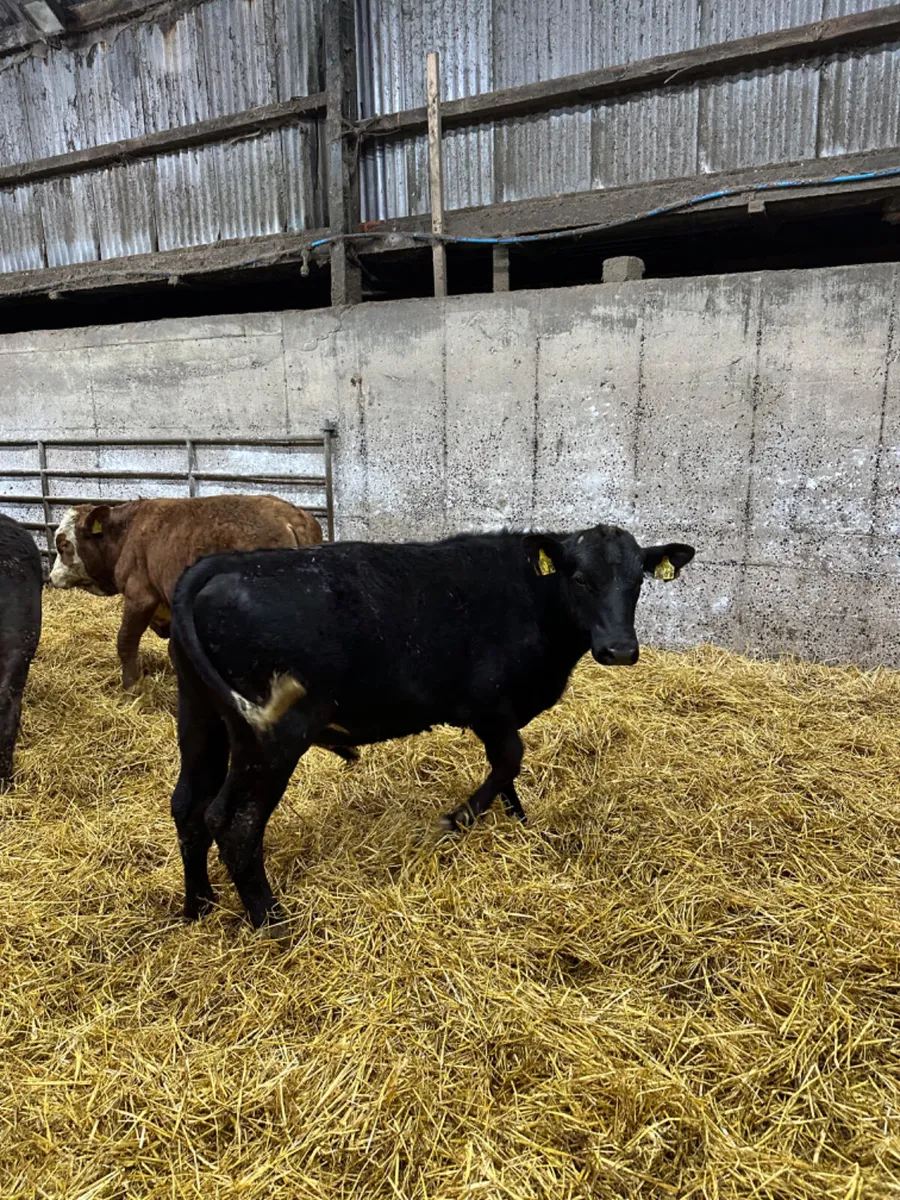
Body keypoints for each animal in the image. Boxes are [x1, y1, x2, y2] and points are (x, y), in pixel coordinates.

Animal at [48, 494, 324, 691]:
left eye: (63, 544)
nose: (51, 577)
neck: (127, 534)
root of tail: (290, 518)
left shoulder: (140, 596)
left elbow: (125, 640)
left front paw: (131, 688)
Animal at [167, 523, 695, 930]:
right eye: (582, 579)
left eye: (637, 582)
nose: (620, 649)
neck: (532, 599)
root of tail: (218, 565)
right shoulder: (490, 707)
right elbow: (510, 760)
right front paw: (459, 818)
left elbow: (507, 771)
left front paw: (517, 820)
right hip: (271, 738)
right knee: (234, 823)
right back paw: (274, 923)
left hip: (202, 719)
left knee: (189, 807)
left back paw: (199, 906)